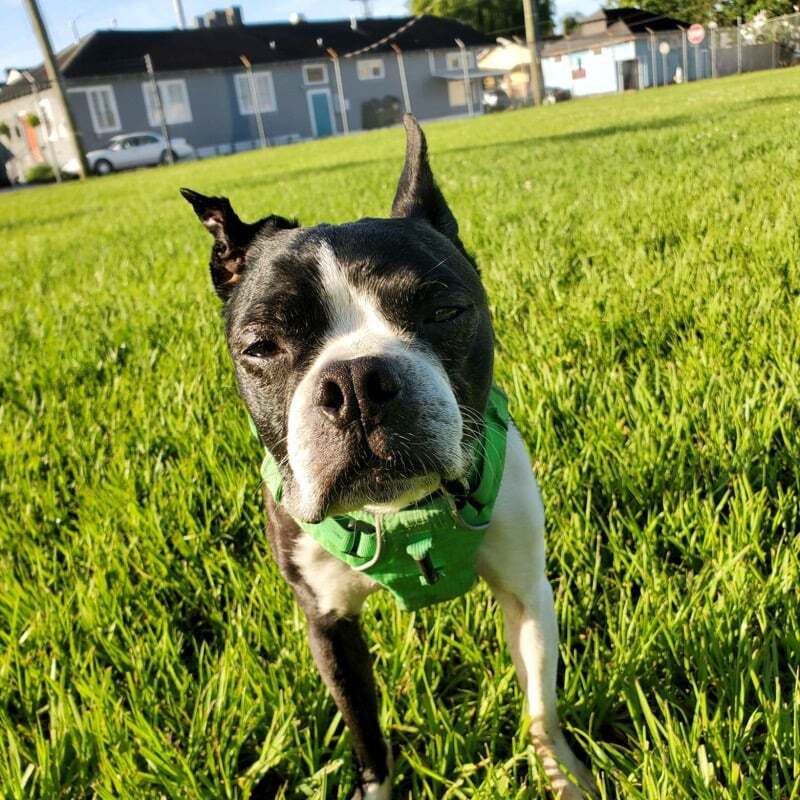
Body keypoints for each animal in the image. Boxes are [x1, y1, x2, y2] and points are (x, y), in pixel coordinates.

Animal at [181, 115, 592, 796]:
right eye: (260, 346)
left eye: (445, 310)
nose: (355, 383)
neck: (402, 513)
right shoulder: (326, 623)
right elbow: (364, 728)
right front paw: (375, 786)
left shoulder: (526, 592)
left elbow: (541, 707)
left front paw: (564, 776)